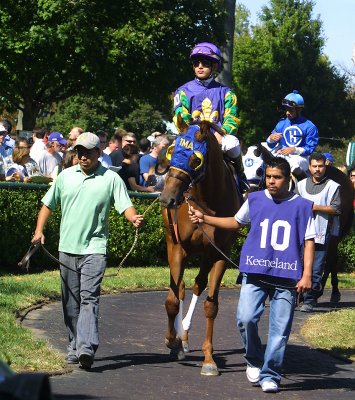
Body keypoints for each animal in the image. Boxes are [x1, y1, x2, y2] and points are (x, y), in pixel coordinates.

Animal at [161, 114, 242, 376]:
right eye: (171, 151)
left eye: (196, 159)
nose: (167, 198)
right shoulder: (177, 247)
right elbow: (172, 299)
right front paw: (171, 340)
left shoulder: (219, 254)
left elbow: (211, 305)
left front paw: (208, 359)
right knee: (182, 288)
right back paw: (179, 338)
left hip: (206, 255)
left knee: (198, 285)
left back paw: (185, 335)